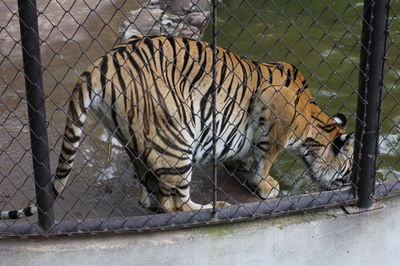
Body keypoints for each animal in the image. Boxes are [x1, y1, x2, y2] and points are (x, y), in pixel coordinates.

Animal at [2, 34, 354, 219]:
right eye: (349, 170)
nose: (351, 184)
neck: (312, 126)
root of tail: (101, 63)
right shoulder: (273, 111)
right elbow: (266, 157)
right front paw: (266, 185)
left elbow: (245, 153)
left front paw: (242, 169)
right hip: (176, 139)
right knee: (176, 203)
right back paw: (213, 207)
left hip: (133, 136)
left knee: (151, 191)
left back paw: (152, 199)